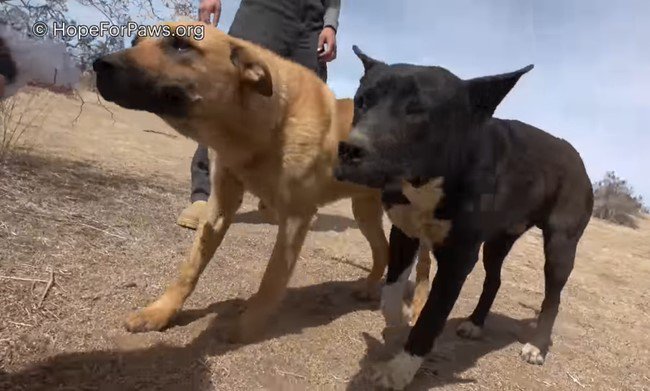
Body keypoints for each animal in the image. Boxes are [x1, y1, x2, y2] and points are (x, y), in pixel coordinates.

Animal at [90, 21, 430, 342]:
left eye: (181, 44)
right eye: (135, 40)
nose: (99, 64)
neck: (262, 127)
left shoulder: (295, 218)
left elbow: (270, 280)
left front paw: (246, 328)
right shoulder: (219, 209)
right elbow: (189, 268)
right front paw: (160, 312)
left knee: (425, 266)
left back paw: (418, 309)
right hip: (365, 210)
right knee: (382, 250)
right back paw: (370, 288)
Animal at [334, 47, 592, 390]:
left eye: (418, 110)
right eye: (362, 100)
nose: (349, 150)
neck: (431, 180)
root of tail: (576, 155)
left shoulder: (457, 258)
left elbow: (430, 319)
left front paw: (400, 369)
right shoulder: (404, 233)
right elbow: (391, 292)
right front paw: (398, 323)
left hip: (561, 246)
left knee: (553, 297)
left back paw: (537, 346)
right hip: (498, 241)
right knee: (494, 279)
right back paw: (475, 323)